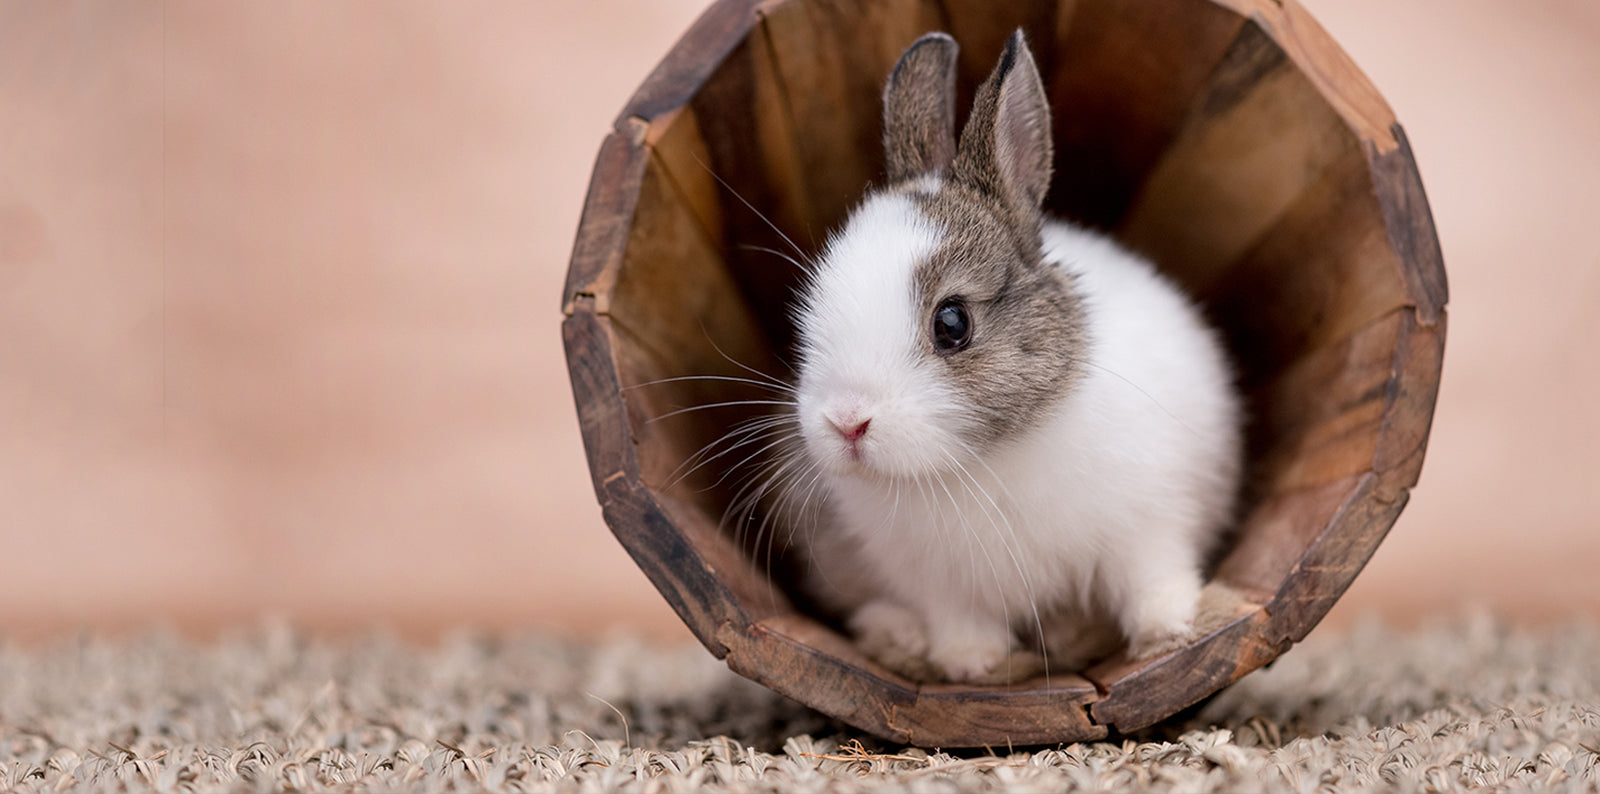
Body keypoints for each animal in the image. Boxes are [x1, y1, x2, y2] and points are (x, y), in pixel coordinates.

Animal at [779, 29, 1244, 684]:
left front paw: (1169, 630)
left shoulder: (1150, 525)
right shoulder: (938, 585)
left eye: (952, 324)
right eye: (812, 306)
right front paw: (972, 665)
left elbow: (1151, 577)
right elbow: (961, 624)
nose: (847, 422)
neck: (977, 462)